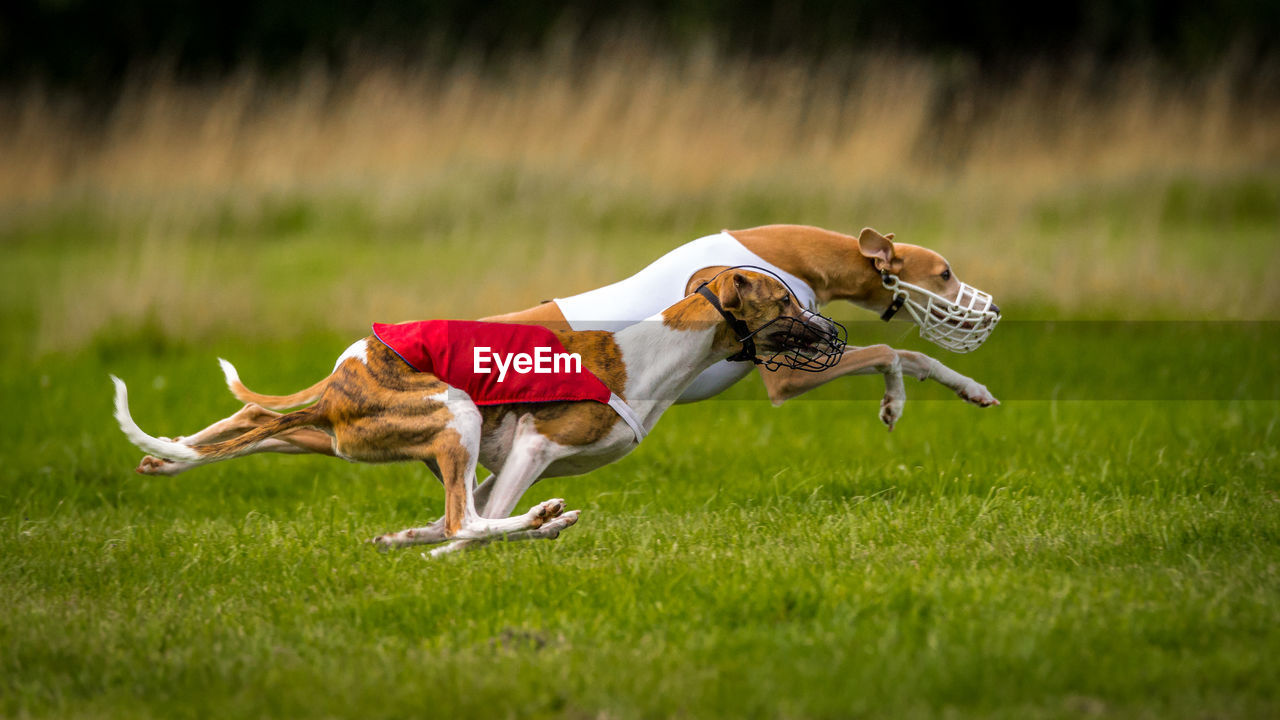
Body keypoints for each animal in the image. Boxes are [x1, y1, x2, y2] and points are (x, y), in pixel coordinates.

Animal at [115, 269, 844, 556]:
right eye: (785, 301)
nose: (830, 330)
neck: (655, 351)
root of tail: (340, 379)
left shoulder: (506, 460)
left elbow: (449, 521)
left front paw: (403, 539)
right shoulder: (534, 448)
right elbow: (471, 525)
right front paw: (467, 543)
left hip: (329, 434)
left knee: (233, 433)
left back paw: (161, 459)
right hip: (455, 416)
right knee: (466, 519)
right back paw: (545, 521)